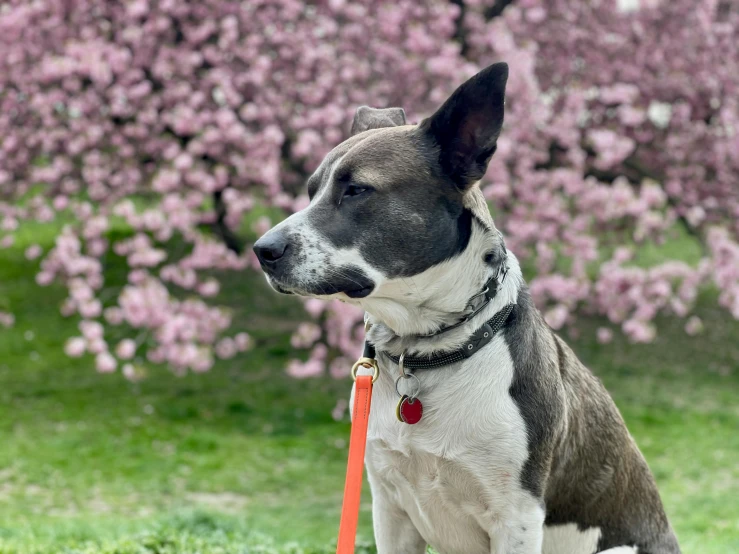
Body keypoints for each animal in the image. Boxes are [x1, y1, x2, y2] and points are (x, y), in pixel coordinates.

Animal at [254, 64, 684, 552]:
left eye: (357, 190)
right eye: (311, 192)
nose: (262, 250)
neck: (426, 351)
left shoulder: (516, 518)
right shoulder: (390, 508)